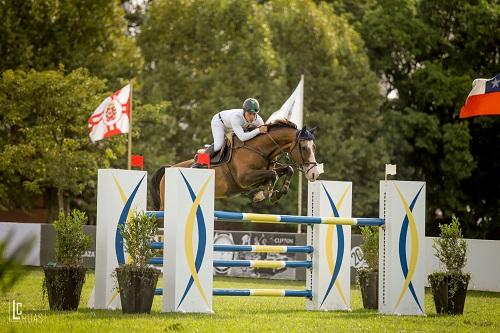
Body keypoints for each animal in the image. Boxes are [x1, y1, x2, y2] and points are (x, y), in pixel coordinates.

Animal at [149, 119, 320, 209]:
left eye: (314, 147)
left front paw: (272, 193)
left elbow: (287, 169)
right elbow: (273, 175)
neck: (259, 149)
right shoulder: (244, 178)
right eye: (304, 148)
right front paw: (262, 193)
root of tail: (169, 169)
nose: (314, 174)